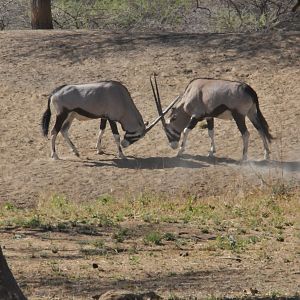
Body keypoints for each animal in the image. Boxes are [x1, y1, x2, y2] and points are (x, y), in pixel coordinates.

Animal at [41, 79, 178, 159]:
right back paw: (55, 155)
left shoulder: (104, 117)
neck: (121, 97)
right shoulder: (112, 119)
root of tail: (54, 92)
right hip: (62, 115)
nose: (124, 144)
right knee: (54, 131)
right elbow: (115, 135)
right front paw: (121, 154)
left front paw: (99, 149)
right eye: (139, 135)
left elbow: (101, 130)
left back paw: (76, 151)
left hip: (71, 115)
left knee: (64, 130)